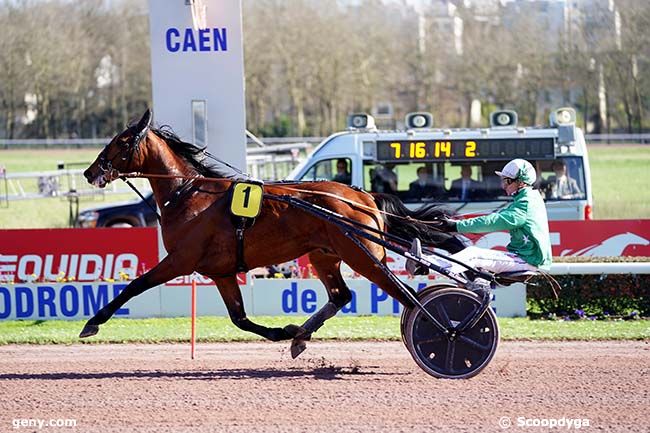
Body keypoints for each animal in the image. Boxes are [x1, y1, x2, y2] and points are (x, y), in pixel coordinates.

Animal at [81, 109, 464, 356]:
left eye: (122, 141)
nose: (89, 172)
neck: (188, 194)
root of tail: (364, 196)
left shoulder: (181, 260)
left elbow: (134, 286)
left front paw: (93, 322)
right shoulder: (221, 272)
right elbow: (240, 318)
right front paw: (285, 331)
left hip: (364, 256)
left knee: (406, 296)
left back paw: (447, 331)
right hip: (325, 255)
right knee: (340, 295)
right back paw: (301, 336)